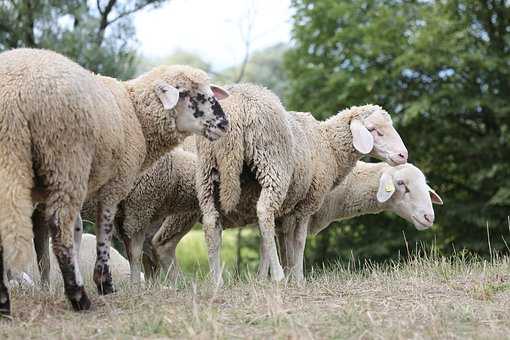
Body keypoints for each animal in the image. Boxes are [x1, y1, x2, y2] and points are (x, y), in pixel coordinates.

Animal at [0, 47, 229, 316]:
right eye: (190, 94)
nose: (224, 124)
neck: (136, 113)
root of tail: (12, 99)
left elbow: (78, 233)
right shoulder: (117, 186)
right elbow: (106, 233)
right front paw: (105, 284)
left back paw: (5, 300)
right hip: (65, 160)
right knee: (60, 231)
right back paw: (78, 297)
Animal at [193, 83, 408, 282]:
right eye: (373, 130)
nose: (403, 155)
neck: (328, 146)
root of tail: (235, 106)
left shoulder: (286, 209)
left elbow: (278, 239)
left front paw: (270, 276)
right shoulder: (308, 202)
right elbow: (299, 239)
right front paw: (296, 277)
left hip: (207, 173)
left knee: (212, 222)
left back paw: (217, 280)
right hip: (273, 165)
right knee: (263, 211)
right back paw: (278, 276)